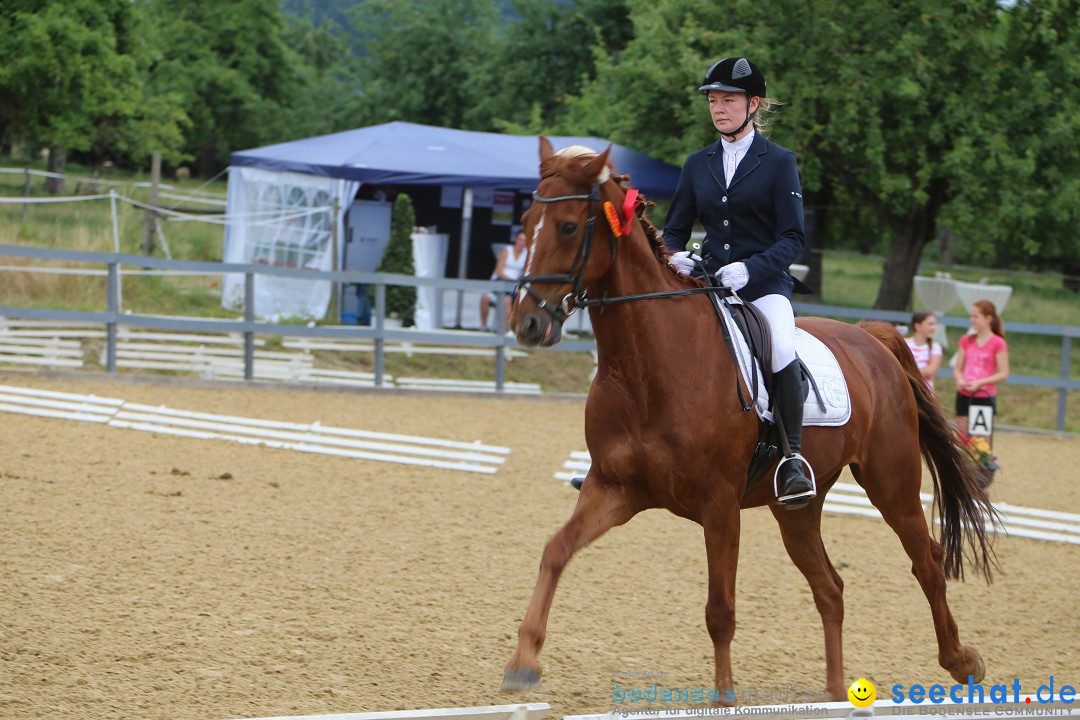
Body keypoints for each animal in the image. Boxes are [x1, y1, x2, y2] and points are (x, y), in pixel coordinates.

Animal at [501, 138, 997, 699]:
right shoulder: (614, 488)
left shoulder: (719, 505)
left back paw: (962, 660)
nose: (527, 322)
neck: (646, 367)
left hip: (891, 482)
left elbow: (720, 610)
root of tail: (872, 338)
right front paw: (523, 662)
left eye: (567, 227)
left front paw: (723, 694)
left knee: (926, 560)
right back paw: (835, 691)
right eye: (527, 222)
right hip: (796, 508)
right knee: (830, 587)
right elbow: (556, 550)